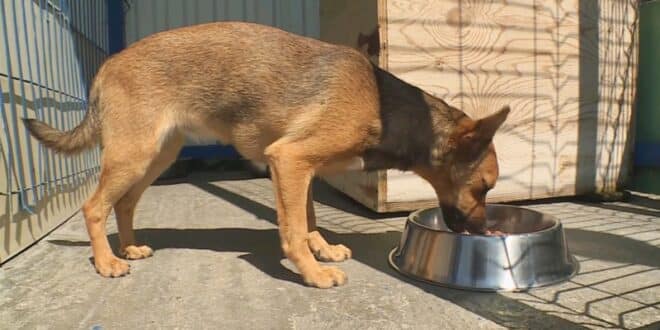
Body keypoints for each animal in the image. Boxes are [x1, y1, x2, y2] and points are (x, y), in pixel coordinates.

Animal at [23, 21, 510, 288]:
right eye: (484, 187)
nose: (484, 231)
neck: (385, 107)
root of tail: (108, 64)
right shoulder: (290, 160)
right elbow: (293, 228)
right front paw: (311, 271)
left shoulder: (303, 169)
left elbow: (307, 219)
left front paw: (321, 249)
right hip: (134, 154)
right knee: (94, 207)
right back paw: (107, 262)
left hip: (157, 156)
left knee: (122, 203)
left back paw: (127, 248)